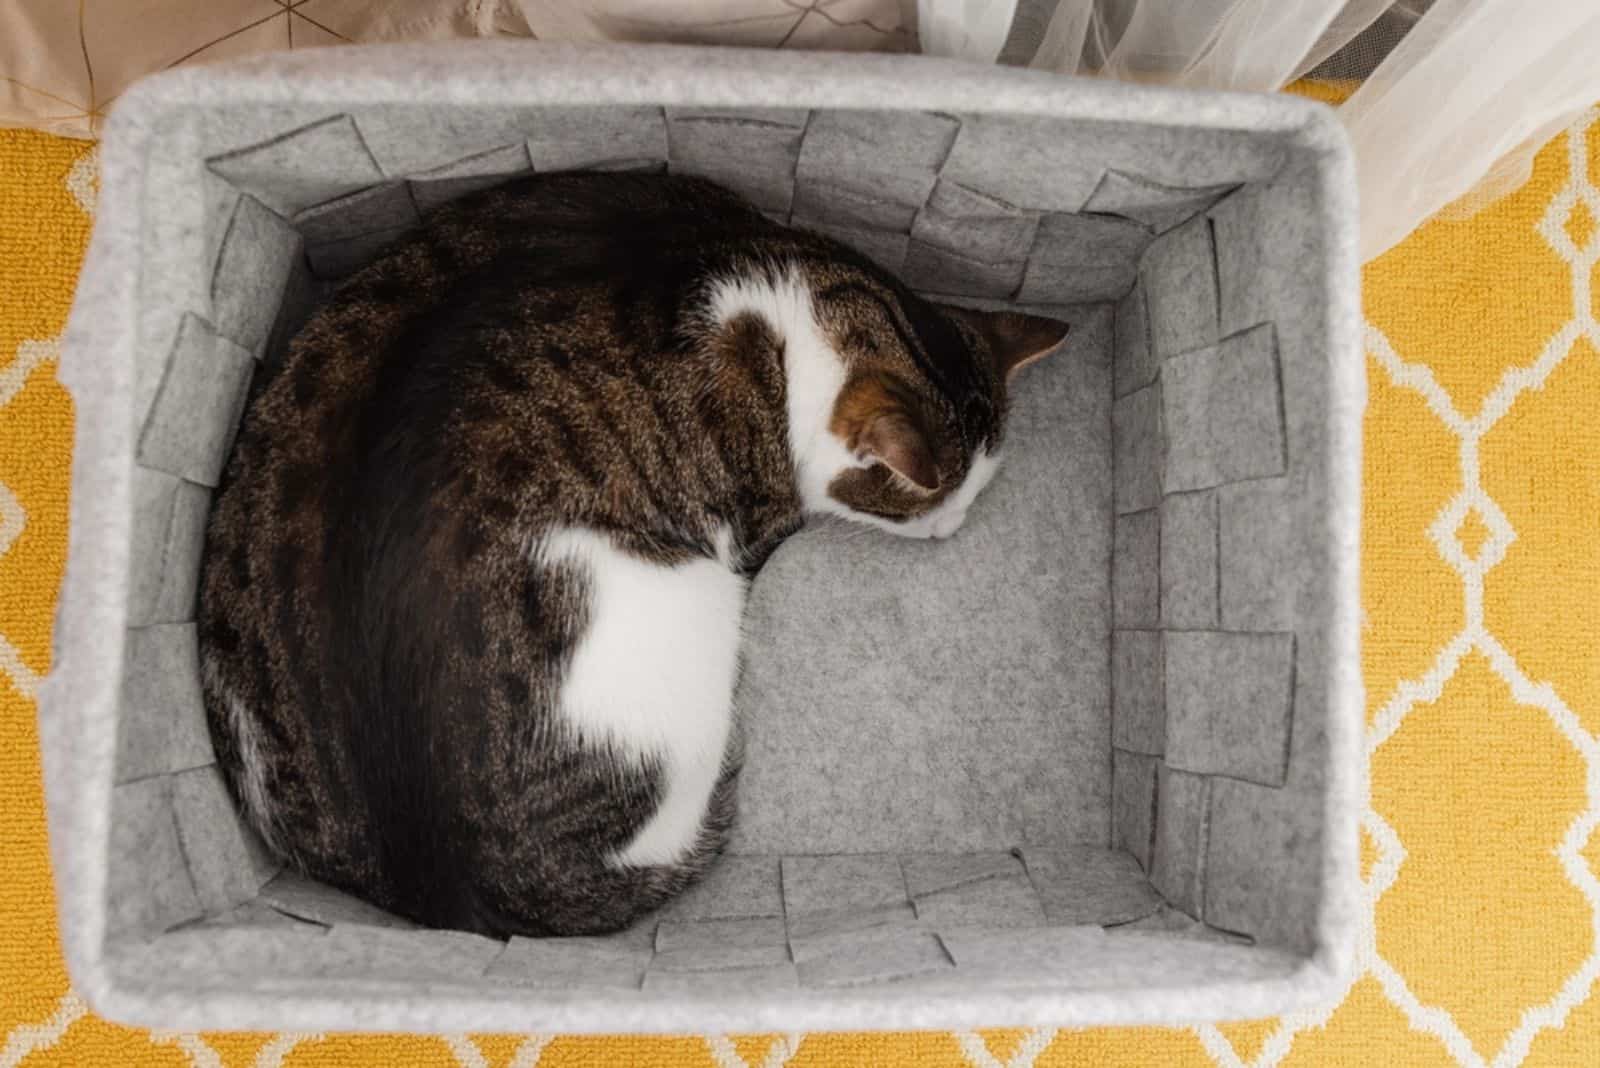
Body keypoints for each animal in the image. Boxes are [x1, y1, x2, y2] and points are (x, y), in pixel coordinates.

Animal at [200, 173, 1068, 933]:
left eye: (975, 496)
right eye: (927, 509)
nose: (952, 531)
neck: (777, 290)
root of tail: (479, 904)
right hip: (687, 605)